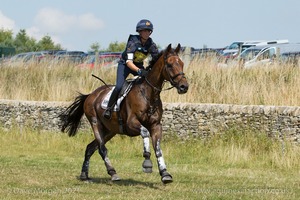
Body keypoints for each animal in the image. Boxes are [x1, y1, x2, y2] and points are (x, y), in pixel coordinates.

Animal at [59, 43, 189, 184]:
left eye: (182, 64)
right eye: (170, 65)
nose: (184, 86)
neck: (148, 94)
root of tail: (90, 95)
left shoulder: (156, 125)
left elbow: (158, 149)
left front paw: (165, 174)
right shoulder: (131, 123)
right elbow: (145, 133)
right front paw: (147, 162)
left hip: (110, 130)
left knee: (90, 148)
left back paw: (84, 174)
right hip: (96, 123)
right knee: (102, 149)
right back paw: (113, 173)